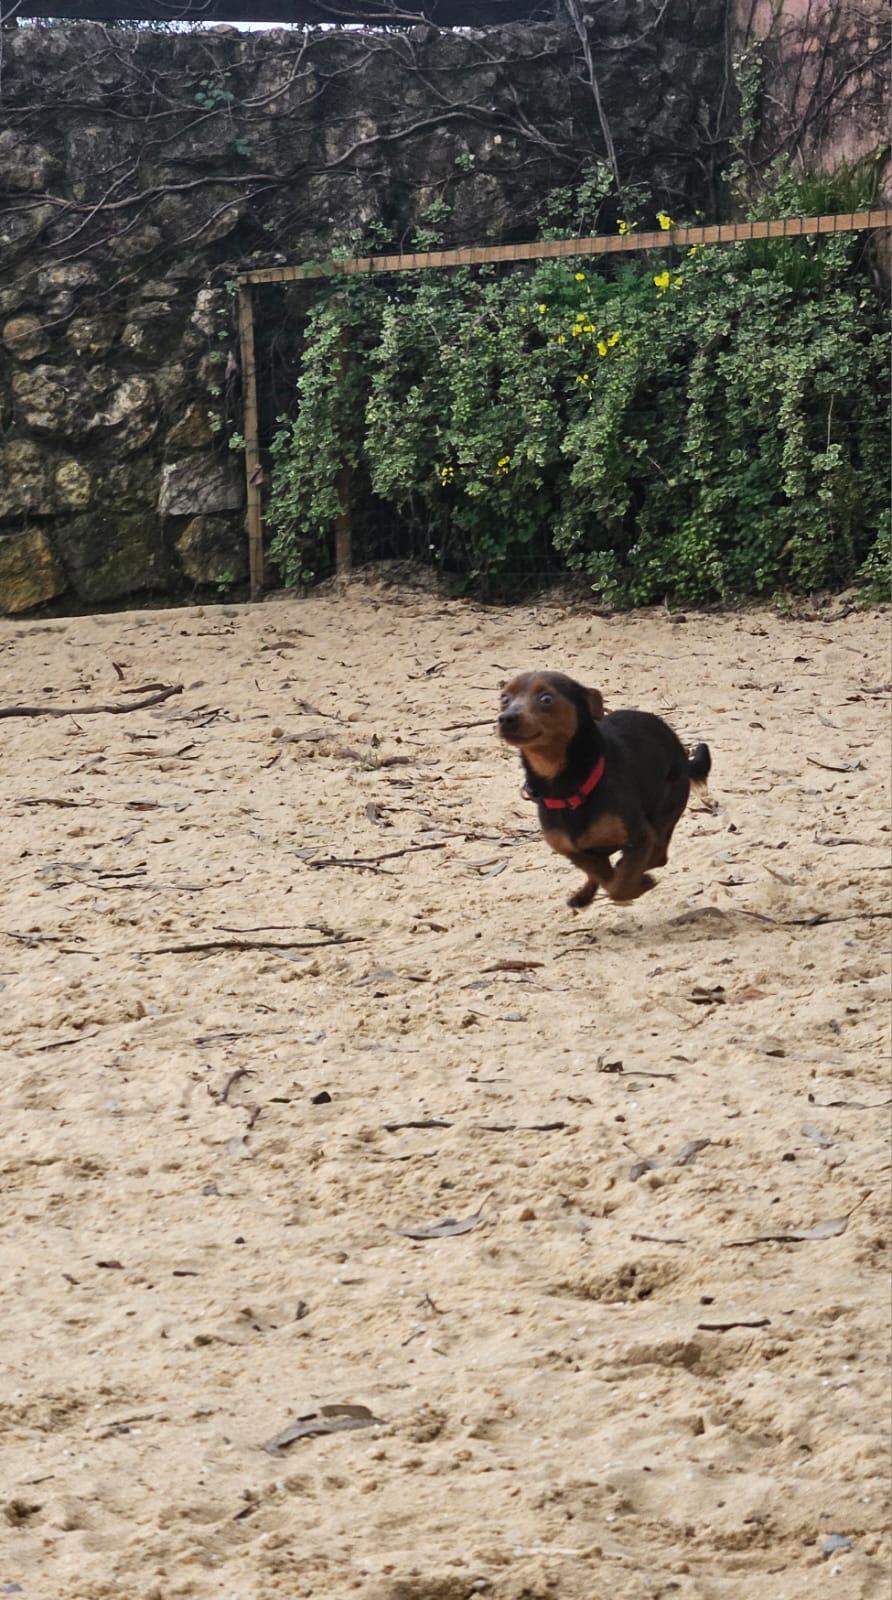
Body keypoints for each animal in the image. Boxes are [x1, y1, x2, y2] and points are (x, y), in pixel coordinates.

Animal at [498, 670, 711, 907]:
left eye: (546, 698)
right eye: (504, 699)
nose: (506, 717)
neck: (566, 788)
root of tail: (683, 754)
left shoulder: (641, 839)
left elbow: (619, 885)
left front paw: (639, 882)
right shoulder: (572, 850)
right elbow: (603, 875)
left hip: (666, 809)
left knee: (659, 854)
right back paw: (584, 895)